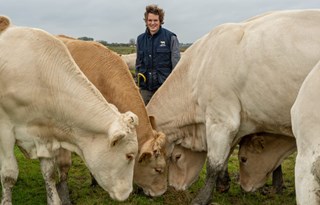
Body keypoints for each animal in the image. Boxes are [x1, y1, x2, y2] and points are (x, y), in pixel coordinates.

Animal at [0, 15, 139, 204]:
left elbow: (49, 174)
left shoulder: (43, 134)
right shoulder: (5, 130)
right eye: (129, 155)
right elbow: (9, 175)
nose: (128, 193)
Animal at [148, 8, 320, 204]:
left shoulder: (221, 119)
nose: (174, 187)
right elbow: (227, 155)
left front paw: (202, 198)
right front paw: (224, 184)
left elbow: (214, 164)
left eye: (177, 156)